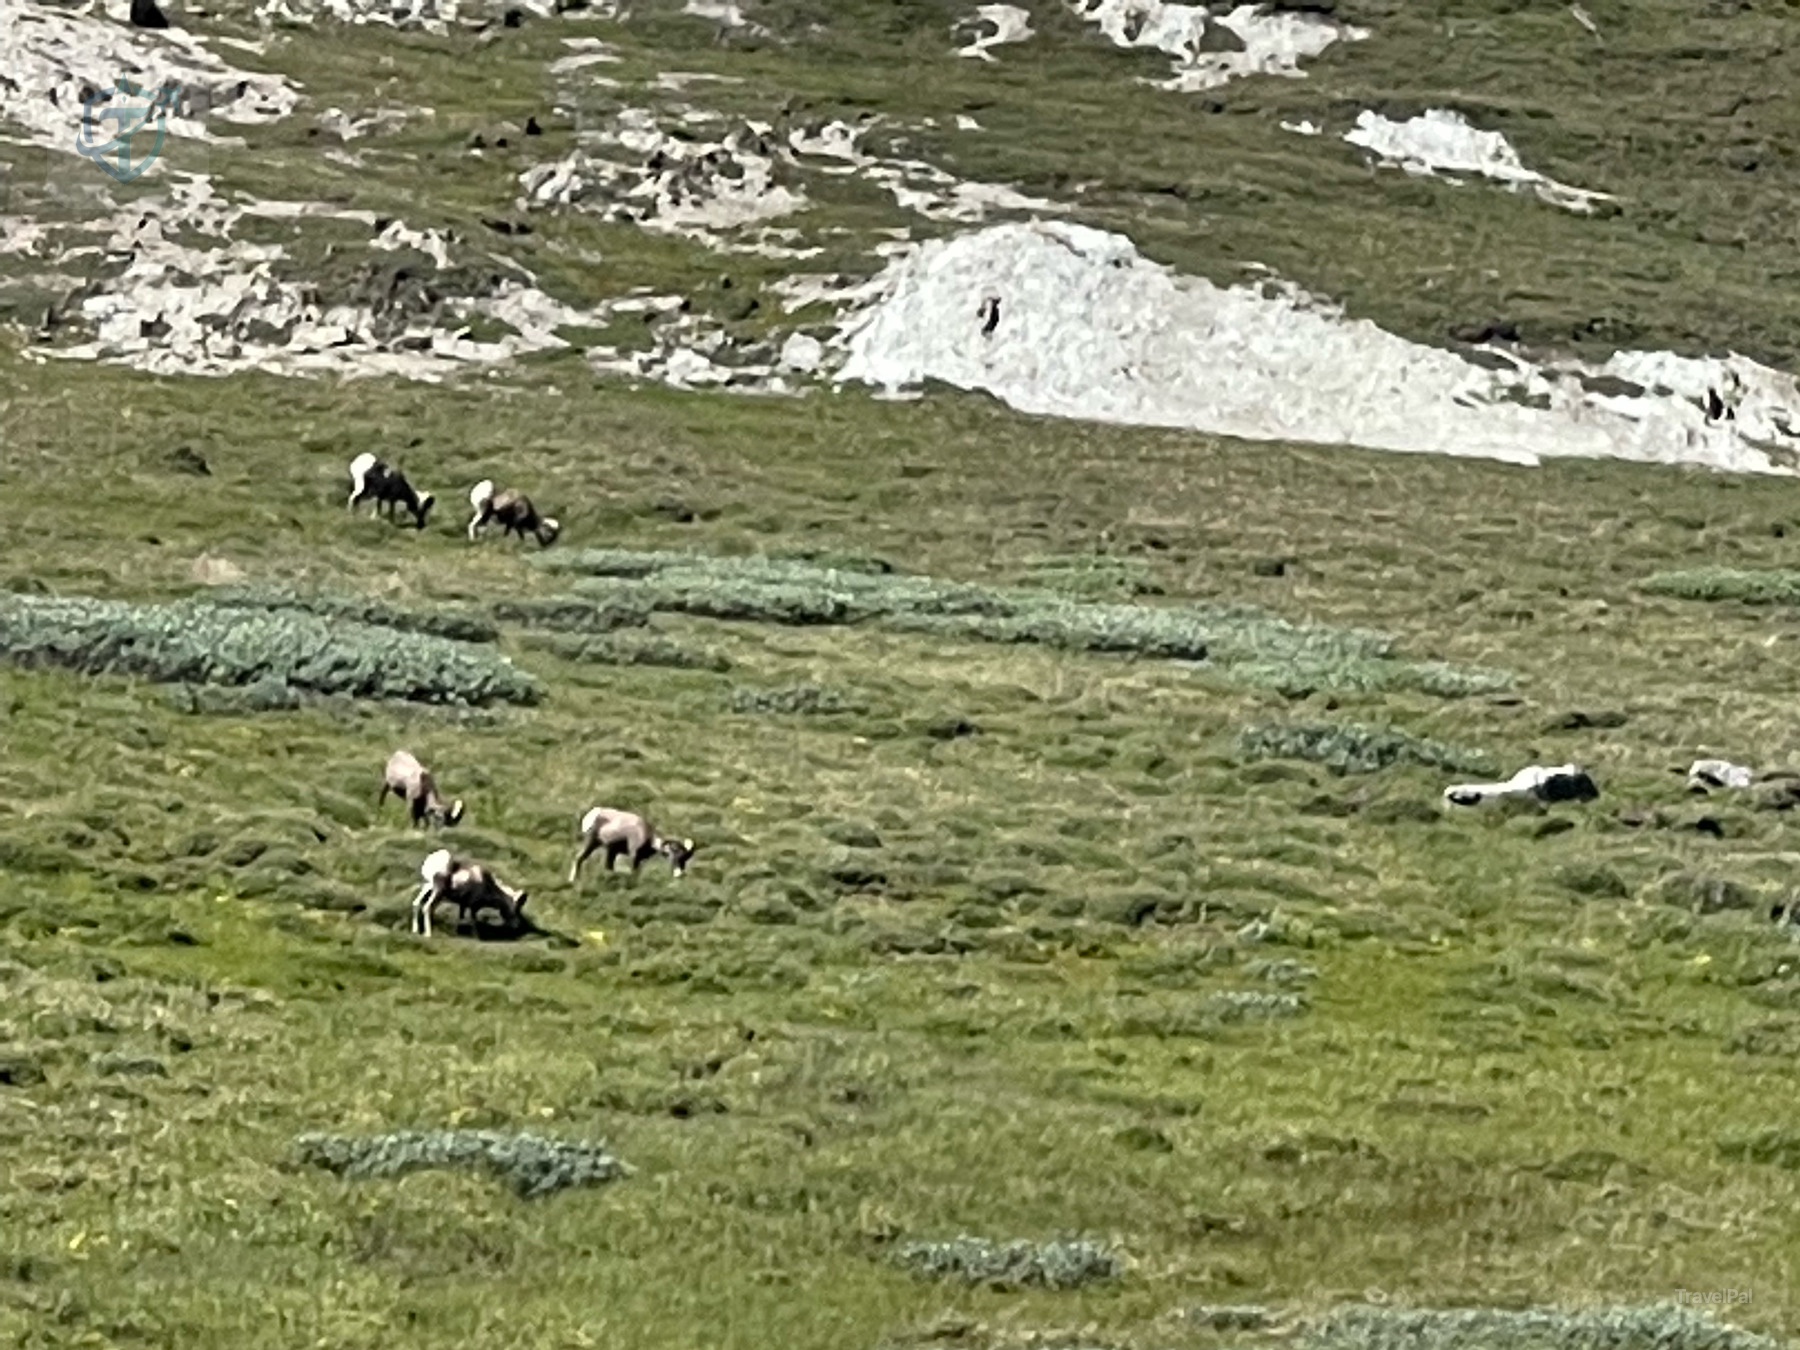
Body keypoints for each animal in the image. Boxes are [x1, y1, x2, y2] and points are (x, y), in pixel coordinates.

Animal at [568, 807, 696, 883]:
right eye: (674, 852)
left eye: (685, 858)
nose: (679, 874)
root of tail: (595, 812)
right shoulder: (634, 857)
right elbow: (634, 873)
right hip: (592, 843)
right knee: (579, 858)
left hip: (608, 851)